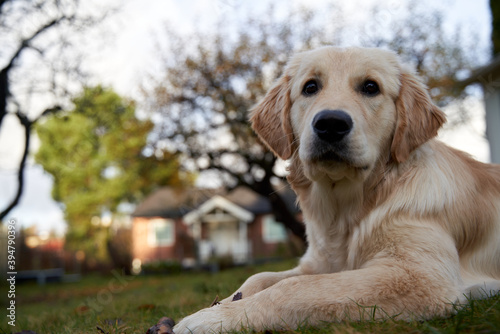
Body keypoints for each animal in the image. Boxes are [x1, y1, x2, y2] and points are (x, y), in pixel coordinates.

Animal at [173, 47, 500, 334]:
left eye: (370, 87)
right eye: (310, 87)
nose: (331, 124)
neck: (348, 206)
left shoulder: (422, 277)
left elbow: (292, 288)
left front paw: (213, 319)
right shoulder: (319, 262)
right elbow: (259, 276)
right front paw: (221, 305)